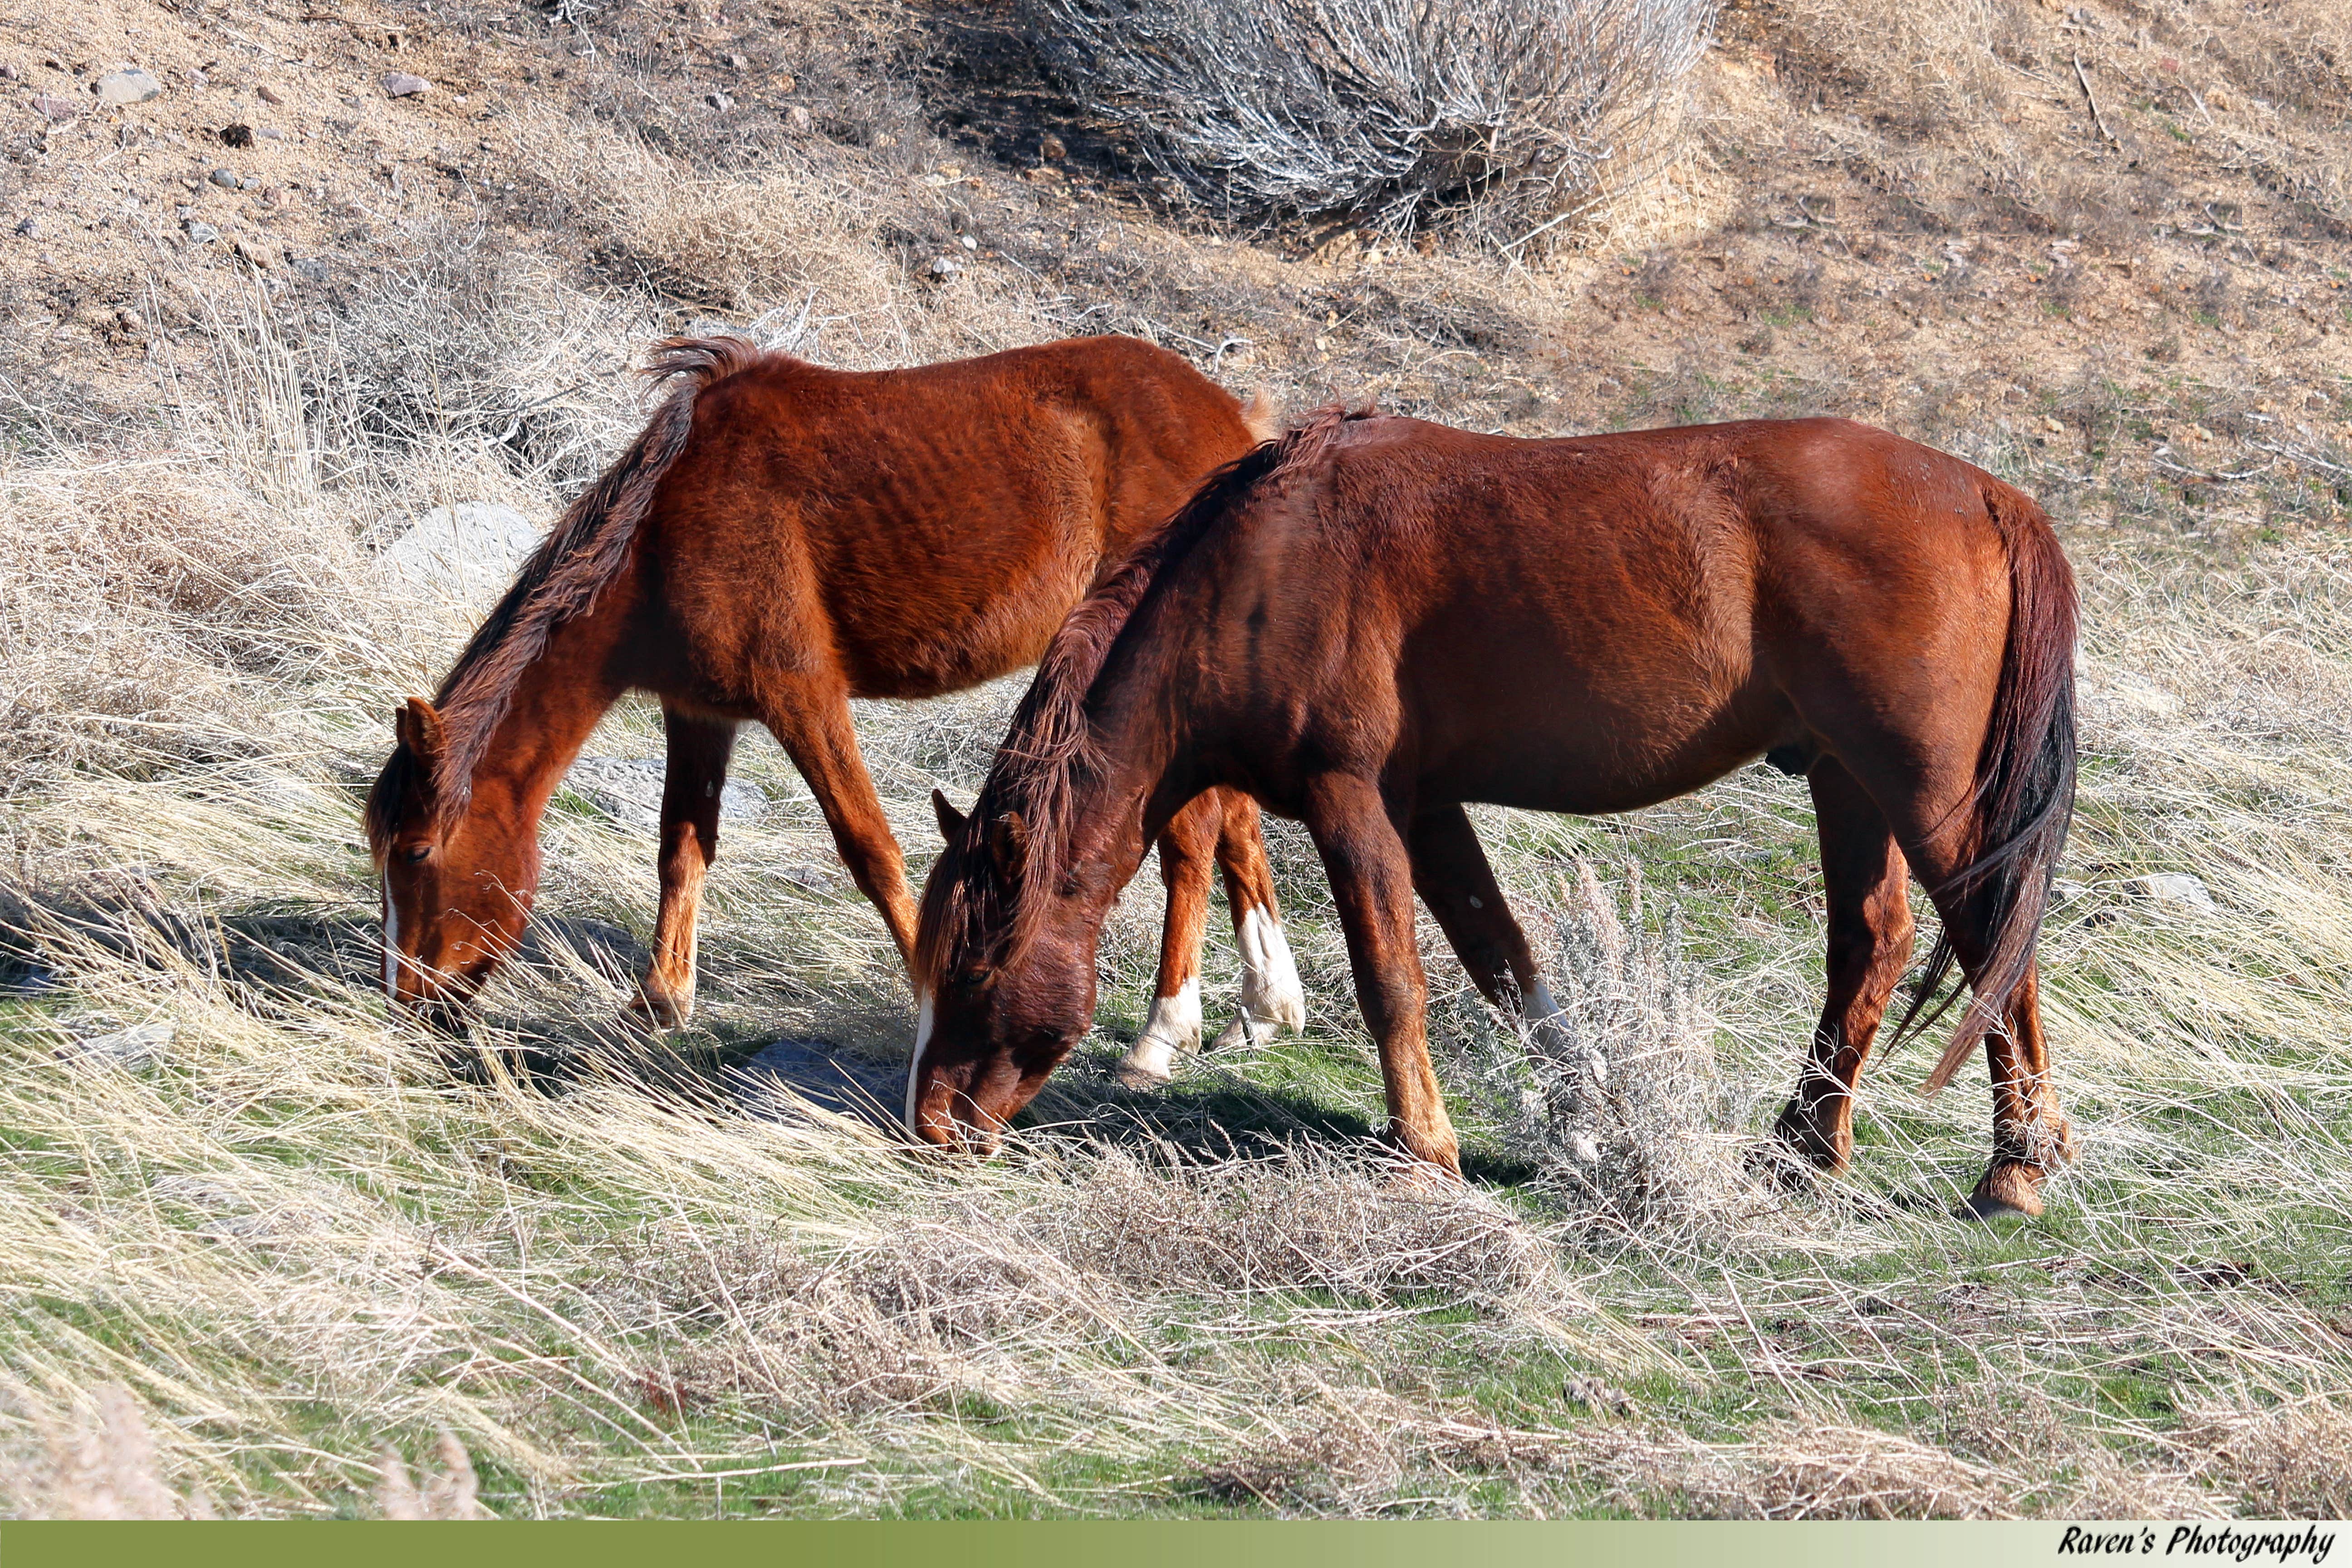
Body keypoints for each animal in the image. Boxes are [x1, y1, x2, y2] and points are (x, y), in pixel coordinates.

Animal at [365, 334, 1309, 1076]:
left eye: (415, 853)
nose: (407, 1002)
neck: (668, 525)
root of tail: (1233, 420)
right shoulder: (698, 712)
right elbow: (682, 847)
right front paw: (659, 1001)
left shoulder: (802, 697)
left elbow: (871, 850)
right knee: (1232, 820)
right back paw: (1263, 1004)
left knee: (1193, 833)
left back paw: (1162, 1033)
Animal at [909, 406, 2080, 1218]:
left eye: (976, 966)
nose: (931, 1126)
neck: (1259, 568)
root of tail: (1990, 497)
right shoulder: (1427, 813)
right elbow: (1505, 968)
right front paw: (1588, 1132)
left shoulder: (1352, 803)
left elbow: (1394, 982)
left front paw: (1423, 1152)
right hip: (1846, 781)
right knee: (1870, 948)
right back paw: (1802, 1150)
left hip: (1924, 798)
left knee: (1993, 945)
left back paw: (2014, 1167)